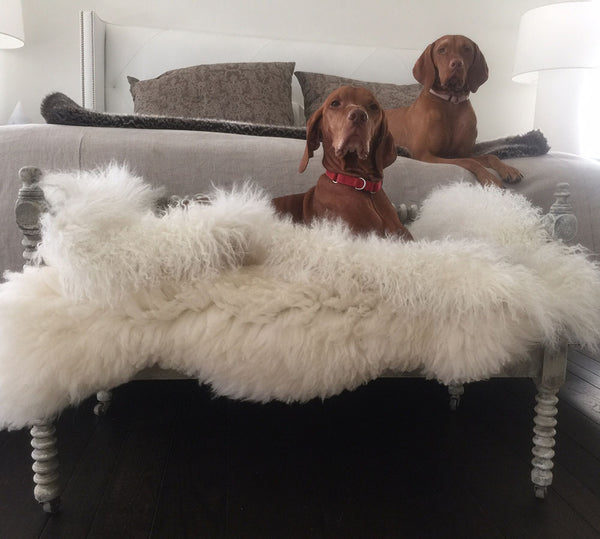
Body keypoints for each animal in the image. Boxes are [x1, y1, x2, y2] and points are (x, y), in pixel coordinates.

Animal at [386, 34, 524, 189]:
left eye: (467, 49)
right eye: (441, 50)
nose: (457, 64)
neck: (451, 103)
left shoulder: (464, 152)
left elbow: (491, 156)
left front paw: (508, 169)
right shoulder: (425, 155)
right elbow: (470, 162)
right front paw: (490, 179)